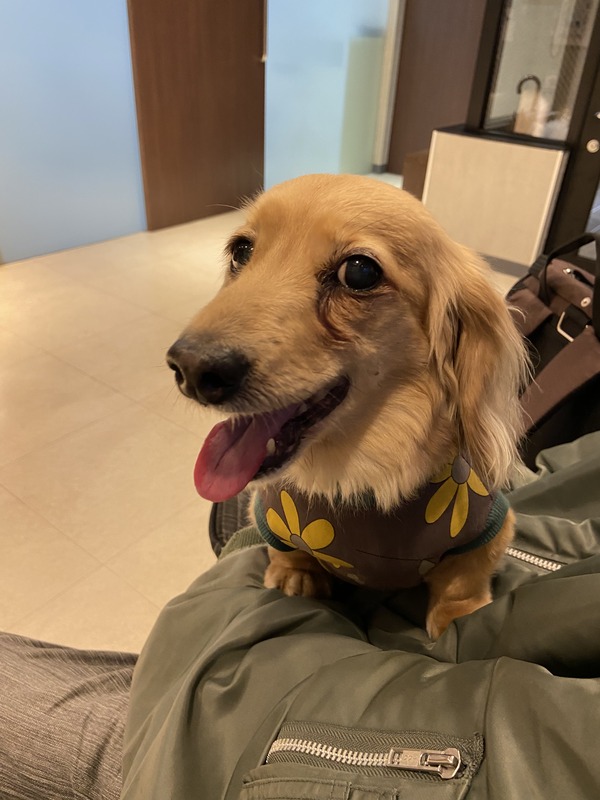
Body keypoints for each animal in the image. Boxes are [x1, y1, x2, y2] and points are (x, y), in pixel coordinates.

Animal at [167, 174, 528, 638]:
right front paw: (296, 576)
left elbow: (462, 581)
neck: (356, 476)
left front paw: (459, 618)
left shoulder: (490, 528)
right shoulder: (264, 512)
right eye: (241, 250)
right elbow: (285, 550)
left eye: (359, 272)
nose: (190, 368)